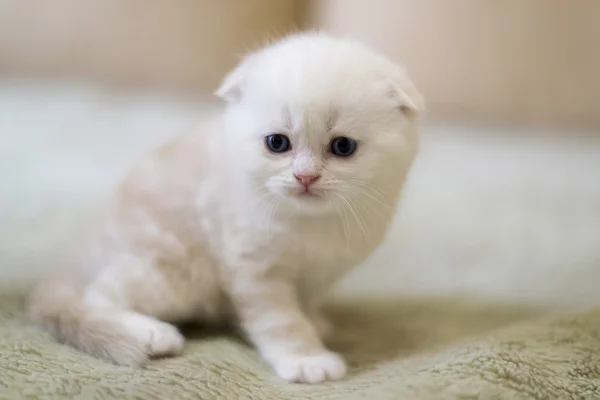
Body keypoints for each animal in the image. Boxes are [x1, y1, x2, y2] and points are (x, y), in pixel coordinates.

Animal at [28, 32, 422, 382]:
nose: (305, 177)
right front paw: (307, 359)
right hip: (169, 269)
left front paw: (317, 324)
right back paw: (152, 334)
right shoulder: (255, 270)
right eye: (277, 143)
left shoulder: (319, 274)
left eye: (343, 147)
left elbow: (307, 303)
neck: (311, 224)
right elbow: (283, 322)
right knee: (97, 296)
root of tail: (84, 248)